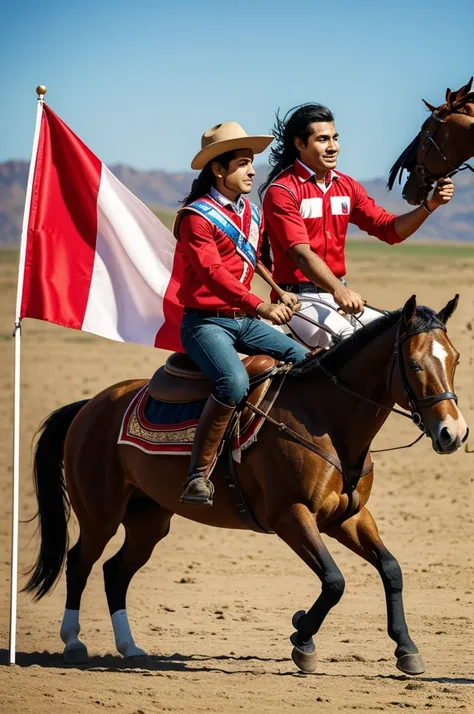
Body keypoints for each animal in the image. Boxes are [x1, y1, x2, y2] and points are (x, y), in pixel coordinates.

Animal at [22, 294, 466, 672]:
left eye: (456, 360)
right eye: (415, 365)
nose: (454, 433)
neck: (325, 418)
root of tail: (91, 406)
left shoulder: (348, 517)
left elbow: (390, 569)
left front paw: (406, 648)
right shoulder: (291, 516)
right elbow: (334, 581)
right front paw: (302, 639)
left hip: (149, 520)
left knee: (116, 571)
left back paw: (130, 647)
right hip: (101, 515)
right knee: (80, 562)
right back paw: (74, 642)